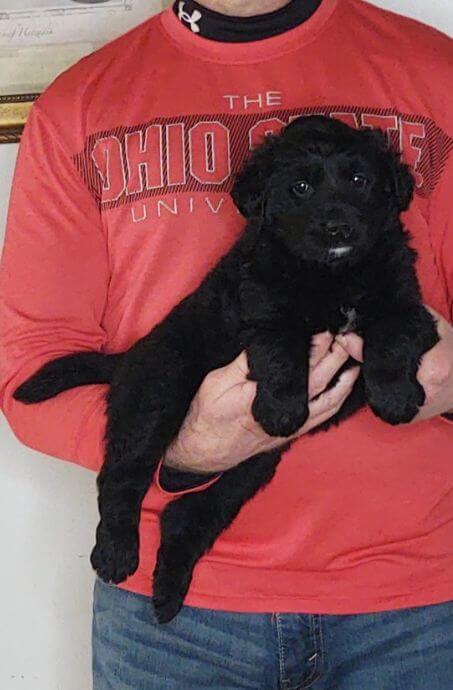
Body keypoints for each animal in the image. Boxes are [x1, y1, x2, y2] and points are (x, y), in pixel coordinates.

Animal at [15, 115, 438, 620]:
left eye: (360, 180)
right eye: (299, 187)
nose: (338, 229)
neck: (333, 274)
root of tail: (129, 355)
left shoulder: (407, 302)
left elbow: (392, 337)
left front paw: (395, 397)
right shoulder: (261, 302)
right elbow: (281, 346)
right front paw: (282, 407)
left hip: (254, 463)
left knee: (191, 512)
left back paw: (168, 589)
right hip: (159, 391)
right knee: (123, 474)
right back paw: (116, 553)